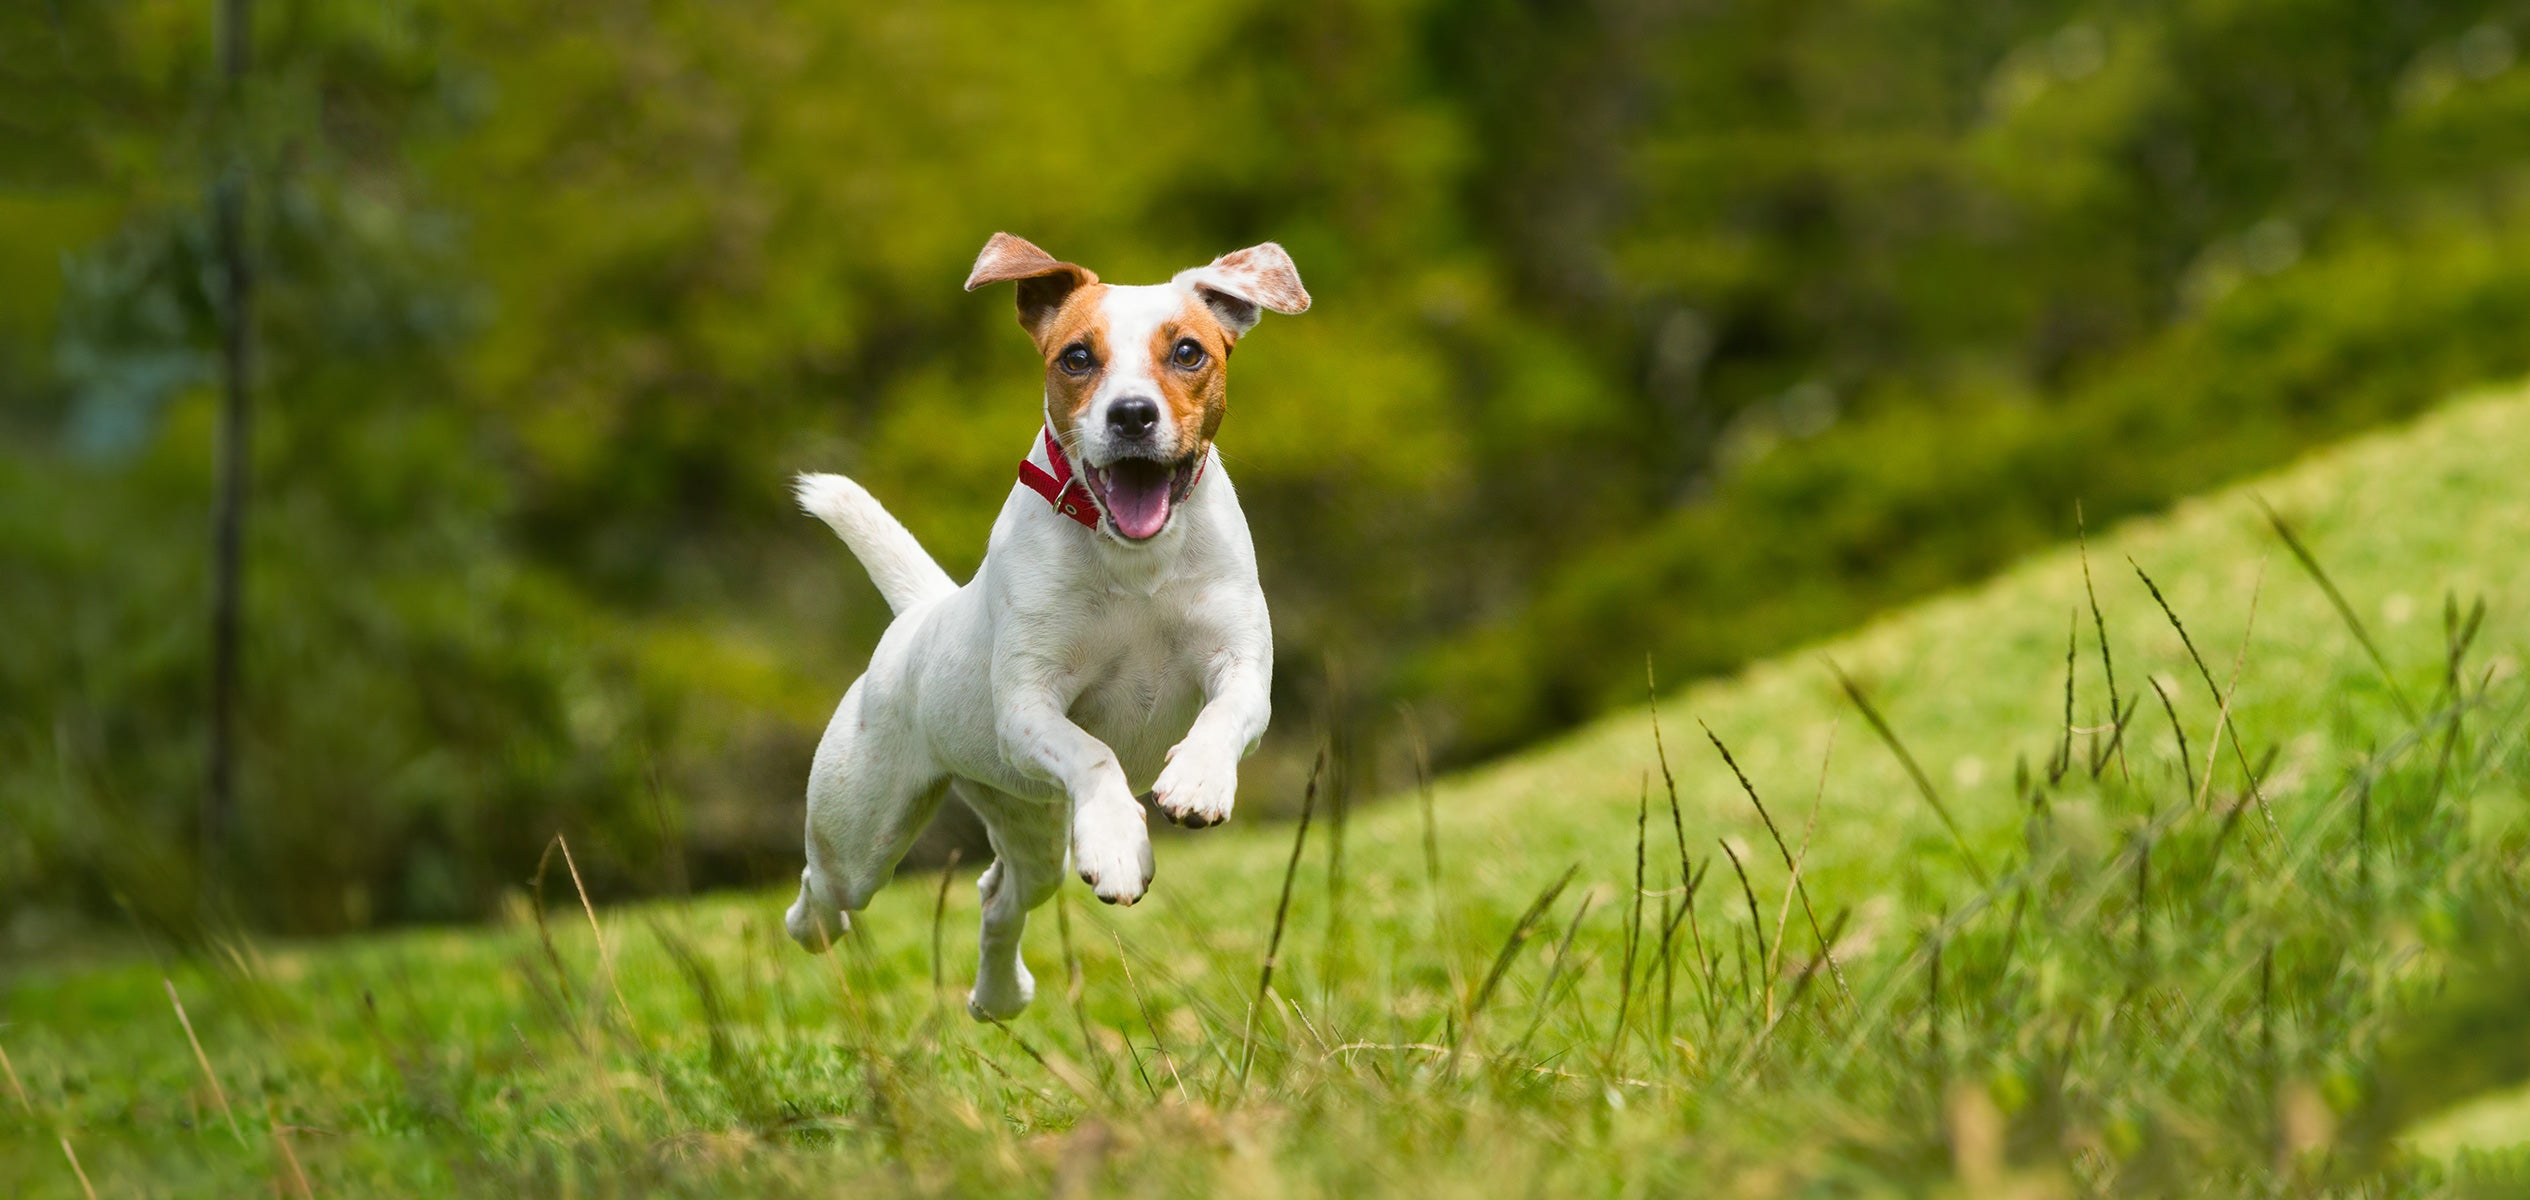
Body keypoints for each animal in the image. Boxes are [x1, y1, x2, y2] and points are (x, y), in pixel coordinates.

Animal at [784, 229, 1305, 1017]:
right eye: (1077, 357)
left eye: (1188, 351)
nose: (1131, 414)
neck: (1134, 561)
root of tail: (922, 612)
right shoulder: (1030, 707)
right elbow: (1094, 754)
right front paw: (1119, 843)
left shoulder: (1241, 664)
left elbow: (1224, 715)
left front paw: (1197, 783)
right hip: (862, 831)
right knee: (825, 893)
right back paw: (814, 927)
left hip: (1027, 822)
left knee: (999, 894)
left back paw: (999, 996)